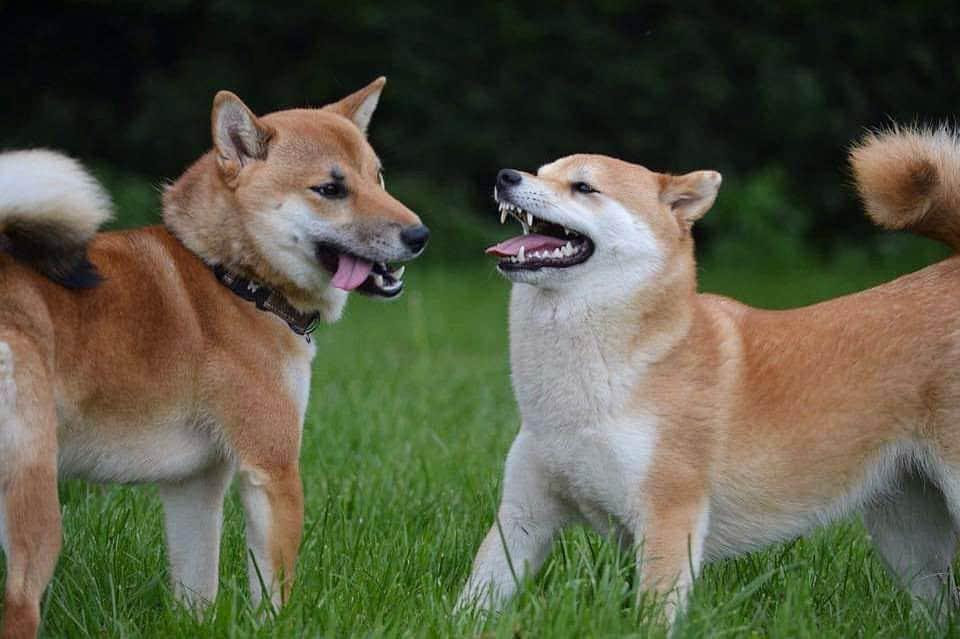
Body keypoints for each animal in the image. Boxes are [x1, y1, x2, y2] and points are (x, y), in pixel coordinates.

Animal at [0, 77, 428, 636]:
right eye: (331, 190)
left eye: (378, 177)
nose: (419, 235)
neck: (234, 280)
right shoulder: (272, 469)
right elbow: (273, 591)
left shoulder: (194, 483)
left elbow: (195, 587)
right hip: (36, 502)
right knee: (19, 601)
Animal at [456, 126, 960, 624]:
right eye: (540, 172)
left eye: (583, 186)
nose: (505, 176)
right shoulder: (523, 516)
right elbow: (475, 600)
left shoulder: (669, 515)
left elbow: (652, 616)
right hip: (907, 533)